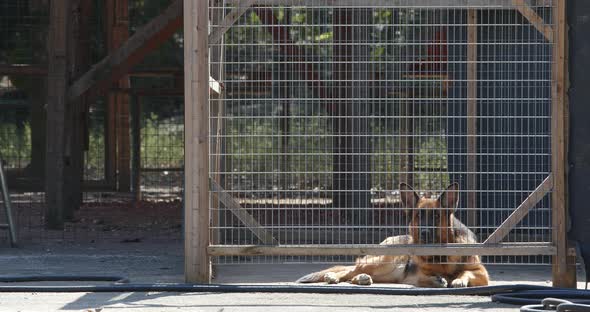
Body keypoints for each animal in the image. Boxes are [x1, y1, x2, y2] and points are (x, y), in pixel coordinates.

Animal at [298, 183, 492, 288]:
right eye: (418, 216)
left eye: (436, 216)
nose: (424, 232)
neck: (439, 256)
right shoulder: (416, 274)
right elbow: (424, 278)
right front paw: (437, 280)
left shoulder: (481, 272)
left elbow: (465, 272)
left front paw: (458, 280)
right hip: (384, 262)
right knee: (350, 270)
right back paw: (336, 277)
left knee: (355, 275)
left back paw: (361, 279)